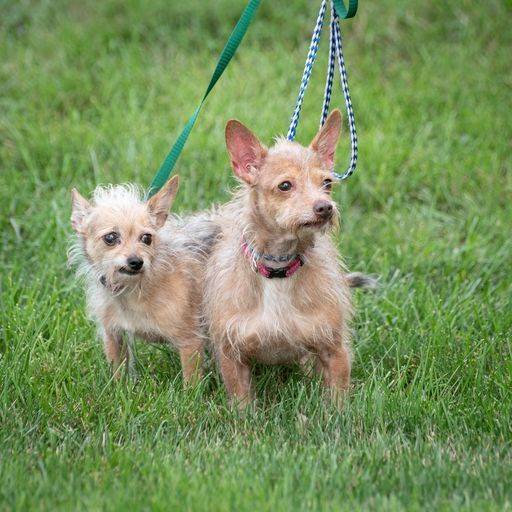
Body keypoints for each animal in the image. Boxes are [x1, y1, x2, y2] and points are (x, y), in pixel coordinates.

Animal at [69, 178, 213, 382]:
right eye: (110, 238)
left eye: (146, 238)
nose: (136, 262)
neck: (131, 289)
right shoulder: (113, 334)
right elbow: (117, 371)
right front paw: (118, 387)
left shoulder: (190, 341)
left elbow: (191, 382)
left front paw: (192, 392)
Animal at [203, 110, 368, 406]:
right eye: (285, 185)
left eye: (327, 183)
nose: (325, 207)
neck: (278, 269)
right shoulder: (232, 355)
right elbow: (241, 404)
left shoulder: (335, 350)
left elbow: (338, 401)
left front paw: (340, 417)